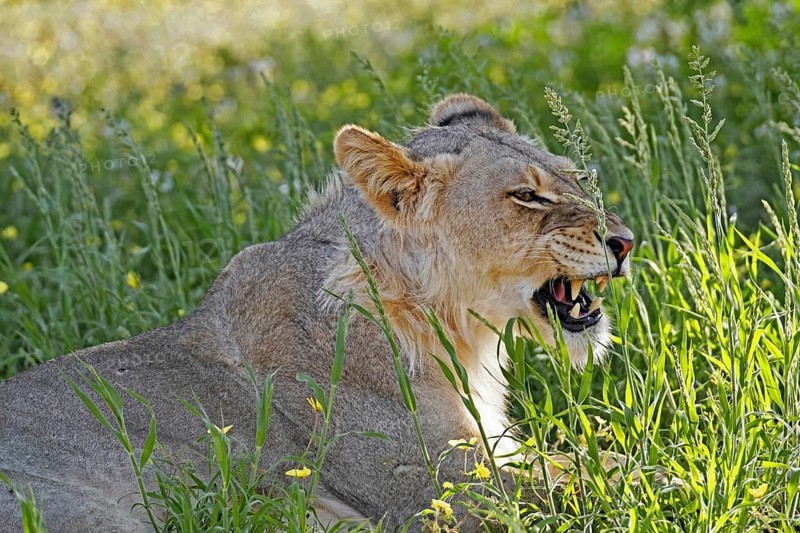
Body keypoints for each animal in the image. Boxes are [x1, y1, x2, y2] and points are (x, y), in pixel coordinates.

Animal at [0, 94, 633, 531]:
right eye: (527, 196)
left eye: (577, 178)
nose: (625, 242)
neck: (455, 332)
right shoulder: (435, 482)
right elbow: (595, 474)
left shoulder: (492, 452)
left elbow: (590, 458)